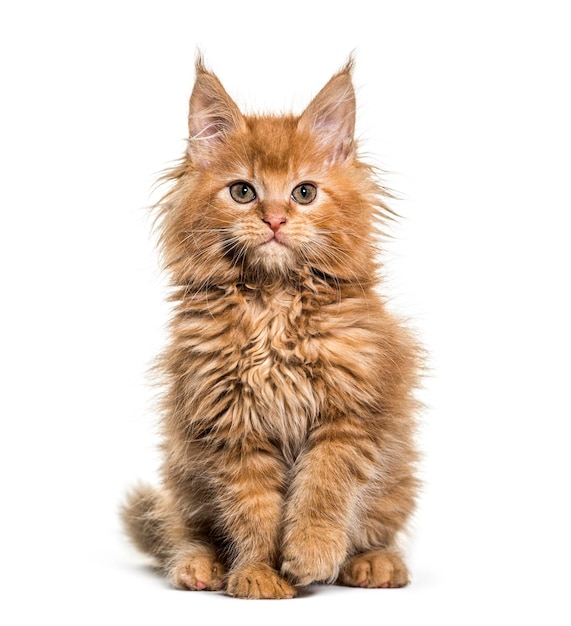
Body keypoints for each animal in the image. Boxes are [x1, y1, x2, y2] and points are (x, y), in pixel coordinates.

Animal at [123, 56, 422, 596]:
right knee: (181, 529)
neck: (274, 303)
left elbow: (323, 491)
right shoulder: (230, 424)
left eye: (304, 192)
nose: (276, 220)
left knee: (378, 529)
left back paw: (373, 563)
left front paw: (311, 554)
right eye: (243, 192)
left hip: (397, 480)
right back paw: (199, 566)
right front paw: (259, 573)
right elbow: (254, 511)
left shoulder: (350, 413)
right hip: (182, 478)